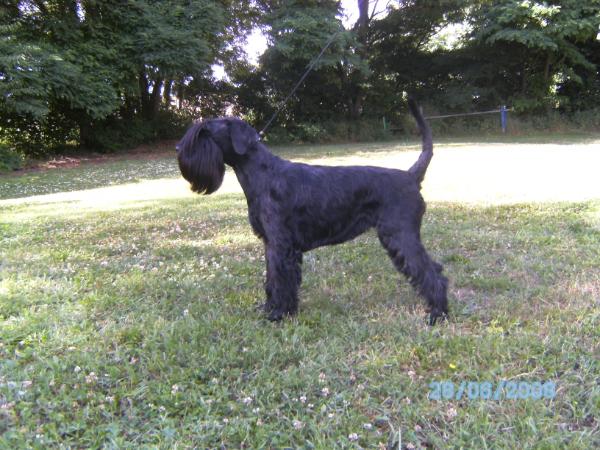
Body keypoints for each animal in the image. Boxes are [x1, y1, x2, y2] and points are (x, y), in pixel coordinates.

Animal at [176, 99, 448, 324]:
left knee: (430, 271)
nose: (179, 148)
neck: (262, 174)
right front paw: (270, 308)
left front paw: (278, 314)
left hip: (400, 235)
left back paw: (438, 313)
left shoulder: (281, 245)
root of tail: (411, 176)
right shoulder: (271, 243)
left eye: (205, 132)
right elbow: (272, 279)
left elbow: (280, 280)